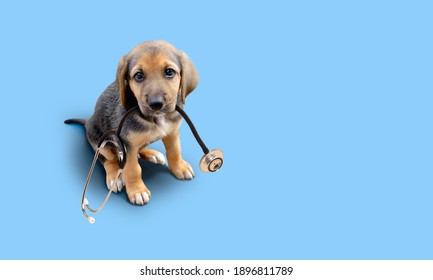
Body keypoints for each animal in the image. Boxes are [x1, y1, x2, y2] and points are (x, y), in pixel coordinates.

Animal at [66, 40, 199, 206]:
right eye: (139, 76)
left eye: (169, 72)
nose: (156, 104)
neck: (155, 118)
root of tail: (88, 121)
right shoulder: (126, 144)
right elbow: (133, 169)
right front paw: (137, 191)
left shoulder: (172, 132)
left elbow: (174, 151)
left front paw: (179, 167)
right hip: (101, 142)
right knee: (108, 160)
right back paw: (114, 177)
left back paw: (152, 154)